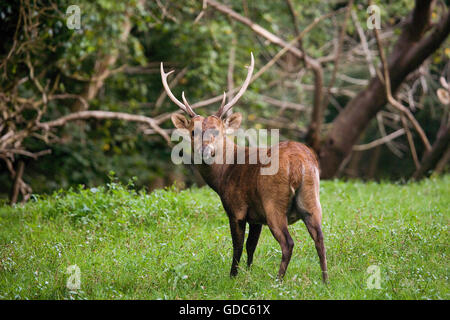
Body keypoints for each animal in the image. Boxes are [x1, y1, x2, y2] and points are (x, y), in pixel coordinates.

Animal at [161, 53, 326, 282]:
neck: (223, 176)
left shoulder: (236, 208)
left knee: (288, 242)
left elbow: (237, 246)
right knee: (320, 238)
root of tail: (299, 163)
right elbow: (251, 246)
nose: (205, 150)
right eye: (194, 131)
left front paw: (233, 276)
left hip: (273, 202)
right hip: (312, 198)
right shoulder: (256, 215)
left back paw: (278, 281)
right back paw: (325, 281)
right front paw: (249, 273)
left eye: (217, 131)